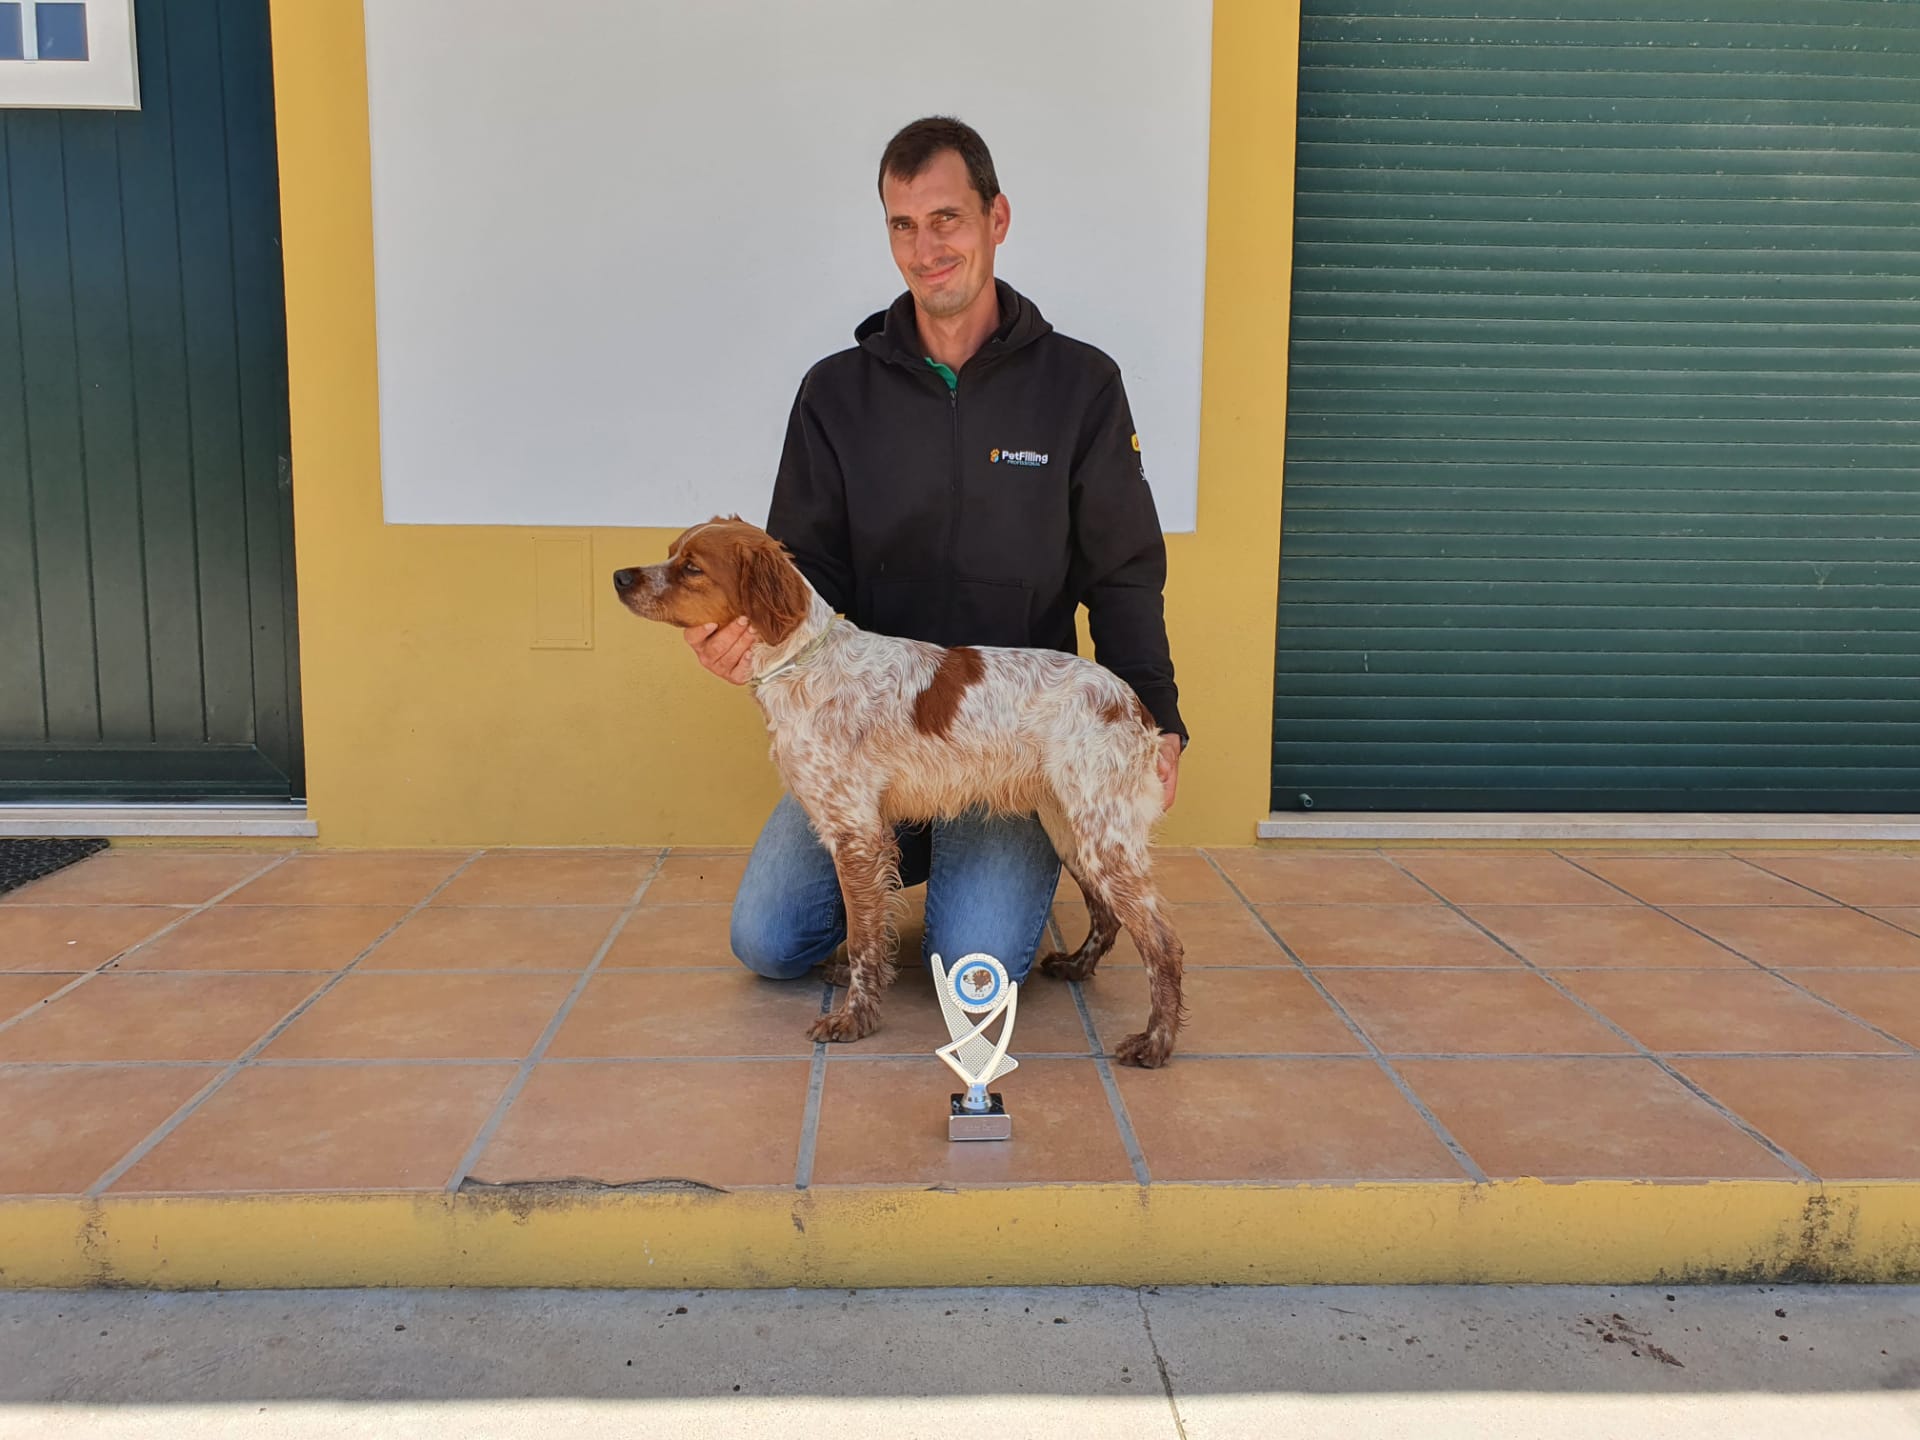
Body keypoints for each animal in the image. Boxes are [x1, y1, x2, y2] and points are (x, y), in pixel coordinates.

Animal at [614, 518, 1182, 1075]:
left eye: (692, 568)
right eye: (671, 552)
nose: (620, 576)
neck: (803, 665)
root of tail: (1132, 704)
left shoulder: (855, 831)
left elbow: (865, 937)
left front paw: (853, 1018)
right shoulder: (859, 833)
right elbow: (863, 928)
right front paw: (848, 979)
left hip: (1099, 833)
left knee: (1164, 943)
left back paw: (1156, 1042)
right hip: (1072, 829)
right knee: (1109, 914)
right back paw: (1077, 967)